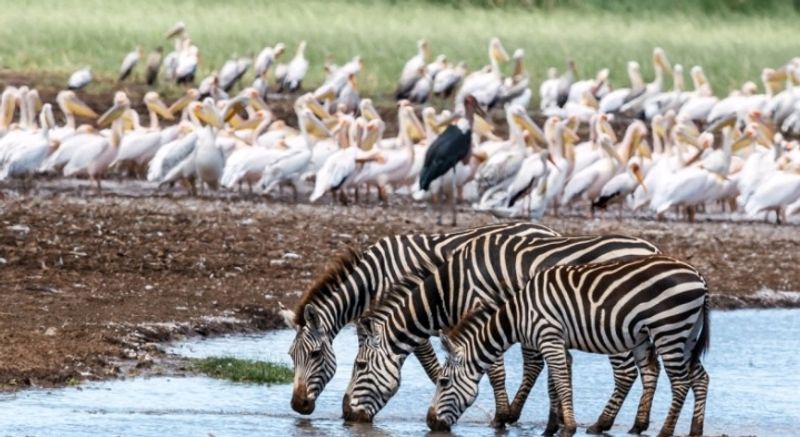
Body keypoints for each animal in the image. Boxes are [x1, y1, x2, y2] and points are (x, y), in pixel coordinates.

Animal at [278, 223, 560, 418]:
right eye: (292, 356)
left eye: (315, 354)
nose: (298, 405)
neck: (373, 280)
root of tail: (547, 229)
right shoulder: (371, 323)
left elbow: (430, 366)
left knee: (533, 363)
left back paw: (511, 413)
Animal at [346, 232, 660, 430]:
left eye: (359, 365)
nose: (346, 415)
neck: (450, 289)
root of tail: (652, 249)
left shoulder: (482, 313)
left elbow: (494, 371)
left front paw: (501, 417)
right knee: (648, 370)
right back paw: (636, 423)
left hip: (616, 326)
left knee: (626, 373)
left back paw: (602, 423)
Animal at [428, 255, 708, 436]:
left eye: (443, 381)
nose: (430, 423)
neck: (519, 313)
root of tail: (698, 276)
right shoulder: (556, 343)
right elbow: (555, 384)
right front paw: (552, 427)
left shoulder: (549, 338)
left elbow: (561, 382)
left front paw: (568, 427)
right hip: (685, 337)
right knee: (700, 377)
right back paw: (695, 429)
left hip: (668, 331)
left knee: (680, 382)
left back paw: (665, 431)